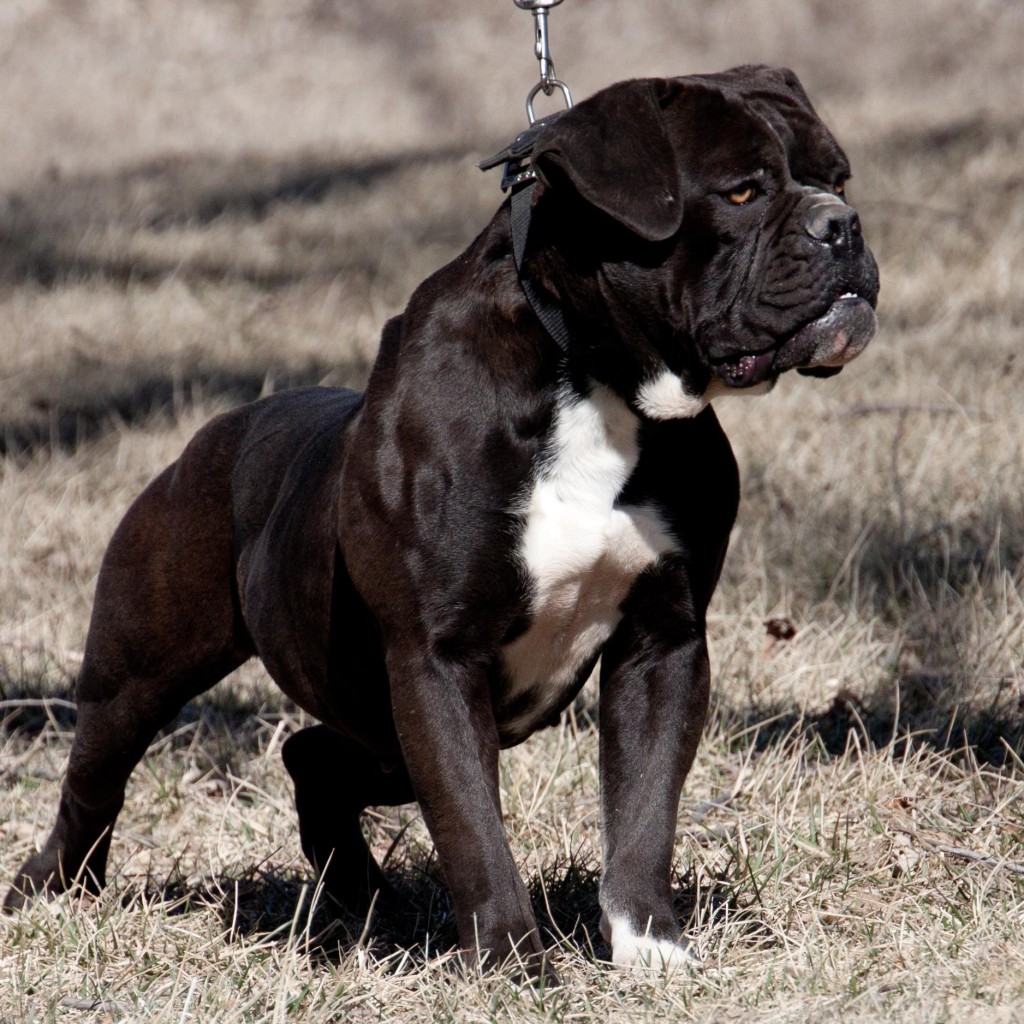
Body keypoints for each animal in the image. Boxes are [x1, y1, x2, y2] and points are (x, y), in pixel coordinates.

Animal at [4, 66, 876, 983]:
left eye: (838, 177)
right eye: (742, 191)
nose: (842, 225)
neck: (592, 380)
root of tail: (216, 432)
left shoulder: (662, 645)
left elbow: (643, 807)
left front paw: (651, 948)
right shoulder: (437, 659)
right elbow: (472, 826)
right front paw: (513, 963)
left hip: (389, 736)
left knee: (312, 760)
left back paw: (360, 898)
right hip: (142, 671)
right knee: (97, 779)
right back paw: (52, 890)